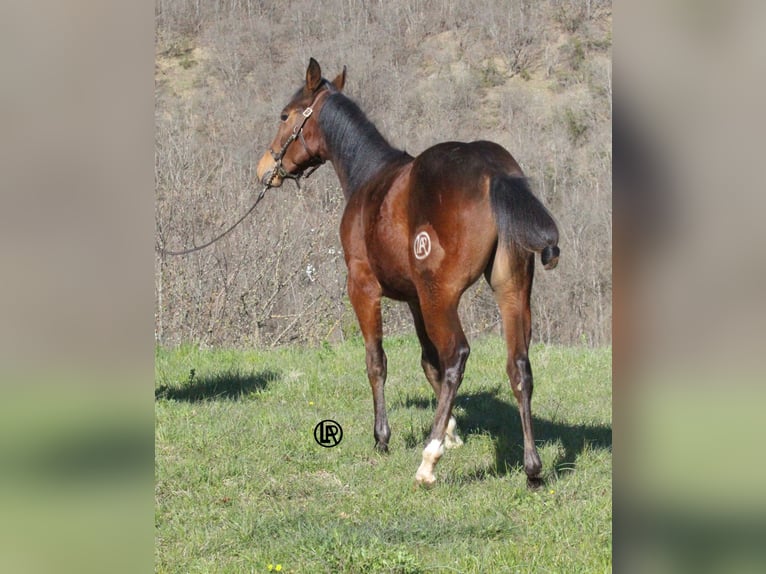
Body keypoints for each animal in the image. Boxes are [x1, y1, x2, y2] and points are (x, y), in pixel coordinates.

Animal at [256, 59, 560, 486]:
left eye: (285, 115)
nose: (265, 168)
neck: (370, 176)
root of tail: (492, 171)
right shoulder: (415, 300)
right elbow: (427, 362)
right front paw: (450, 431)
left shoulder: (363, 288)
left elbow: (377, 361)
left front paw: (385, 437)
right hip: (510, 290)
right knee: (518, 366)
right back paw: (532, 469)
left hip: (441, 297)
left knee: (457, 358)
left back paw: (428, 462)